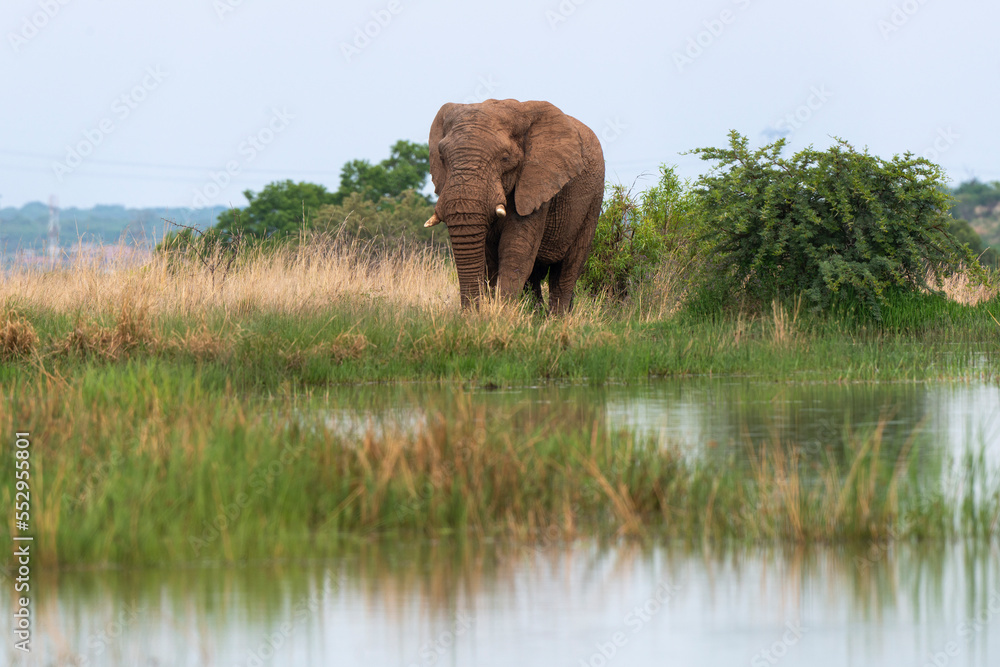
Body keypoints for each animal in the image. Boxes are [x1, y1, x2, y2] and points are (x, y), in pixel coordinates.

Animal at [424, 99, 605, 315]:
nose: (470, 314)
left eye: (505, 158)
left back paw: (557, 319)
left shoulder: (537, 182)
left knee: (566, 271)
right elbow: (489, 260)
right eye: (442, 157)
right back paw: (536, 314)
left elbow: (515, 251)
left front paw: (501, 314)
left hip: (593, 203)